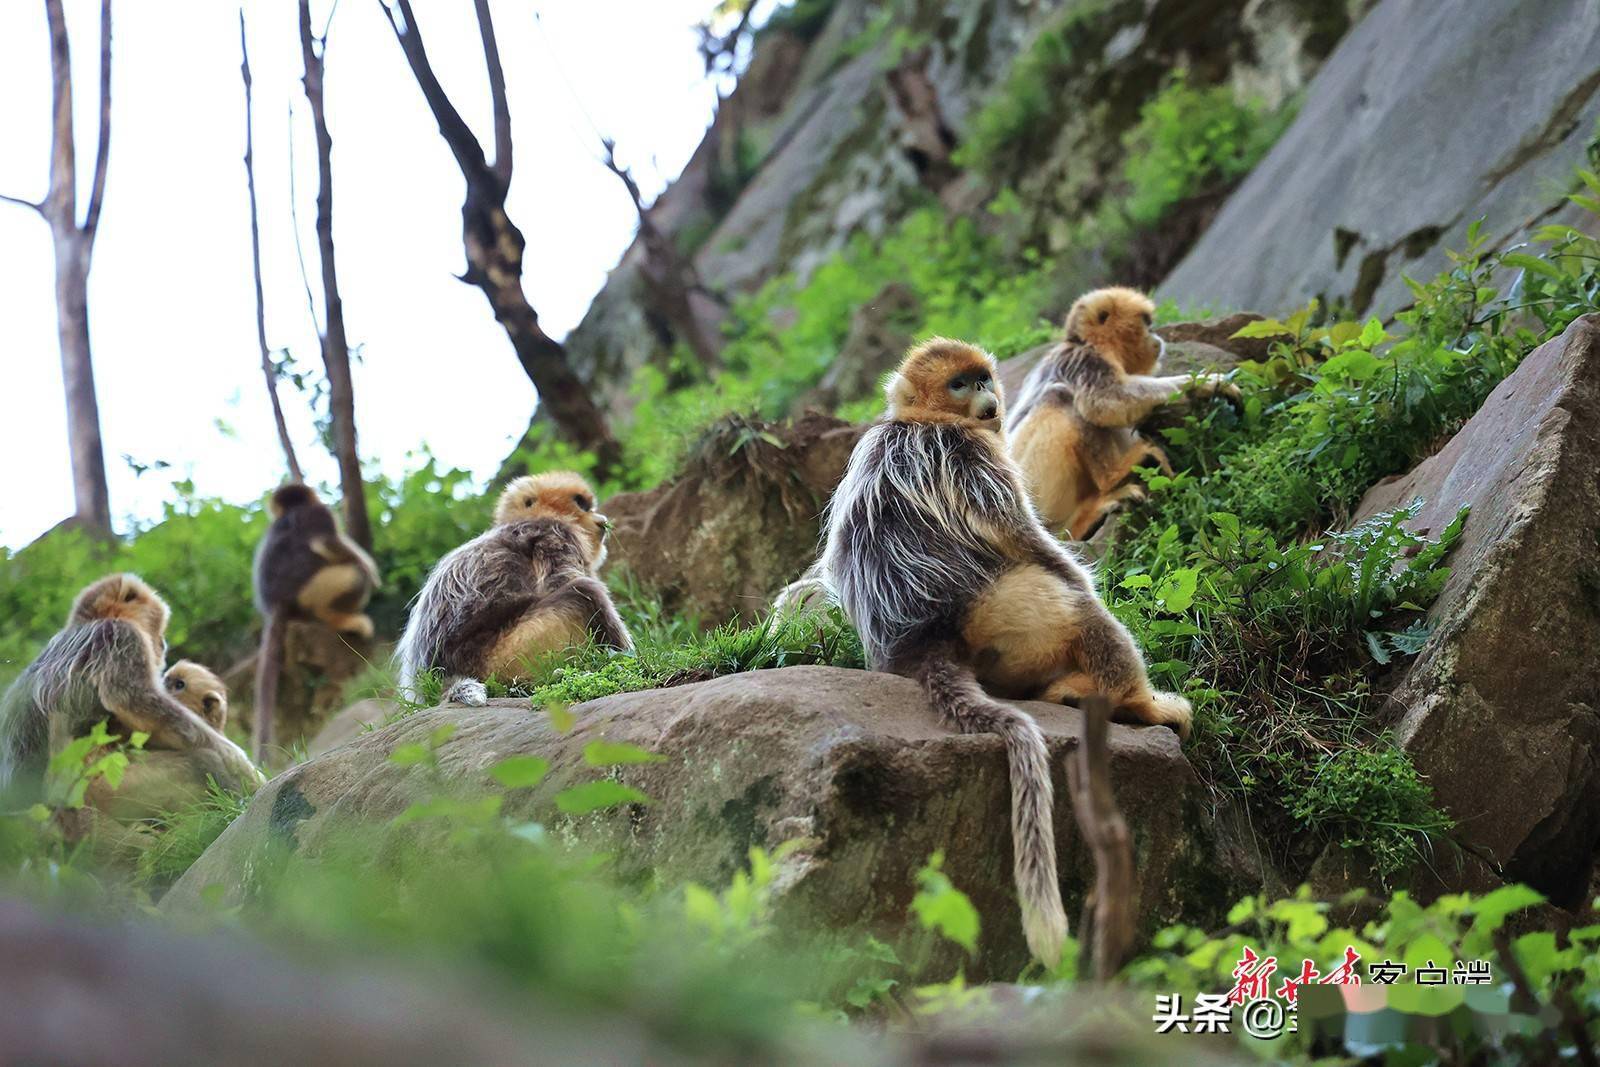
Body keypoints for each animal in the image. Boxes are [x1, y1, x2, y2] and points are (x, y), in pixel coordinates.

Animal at [254, 483, 382, 767]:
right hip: (315, 590)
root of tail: (279, 604)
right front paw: (373, 570)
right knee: (355, 573)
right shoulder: (317, 513)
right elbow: (328, 542)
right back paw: (342, 618)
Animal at [393, 470, 630, 710]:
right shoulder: (554, 532)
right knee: (584, 590)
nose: (602, 520)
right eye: (581, 504)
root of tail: (443, 677)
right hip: (505, 656)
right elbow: (561, 579)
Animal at [819, 340, 1196, 966]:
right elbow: (1031, 542)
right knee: (1073, 600)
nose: (988, 398)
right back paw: (1135, 701)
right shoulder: (966, 454)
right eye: (960, 384)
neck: (919, 420)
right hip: (1008, 611)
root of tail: (920, 643)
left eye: (982, 379)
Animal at [1004, 286, 1241, 543]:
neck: (1090, 344)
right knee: (1062, 396)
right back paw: (1110, 481)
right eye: (1146, 322)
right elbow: (1106, 401)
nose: (1155, 334)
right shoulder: (1086, 361)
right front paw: (1204, 384)